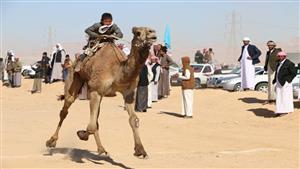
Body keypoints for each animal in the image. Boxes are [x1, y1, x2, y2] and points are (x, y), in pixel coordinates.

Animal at [46, 26, 157, 158]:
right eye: (138, 32)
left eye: (151, 30)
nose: (153, 33)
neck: (117, 71)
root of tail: (73, 63)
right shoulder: (95, 91)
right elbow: (91, 125)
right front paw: (81, 134)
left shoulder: (128, 93)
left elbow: (133, 120)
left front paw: (140, 150)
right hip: (74, 78)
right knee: (65, 110)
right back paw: (51, 141)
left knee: (95, 119)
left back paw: (101, 149)